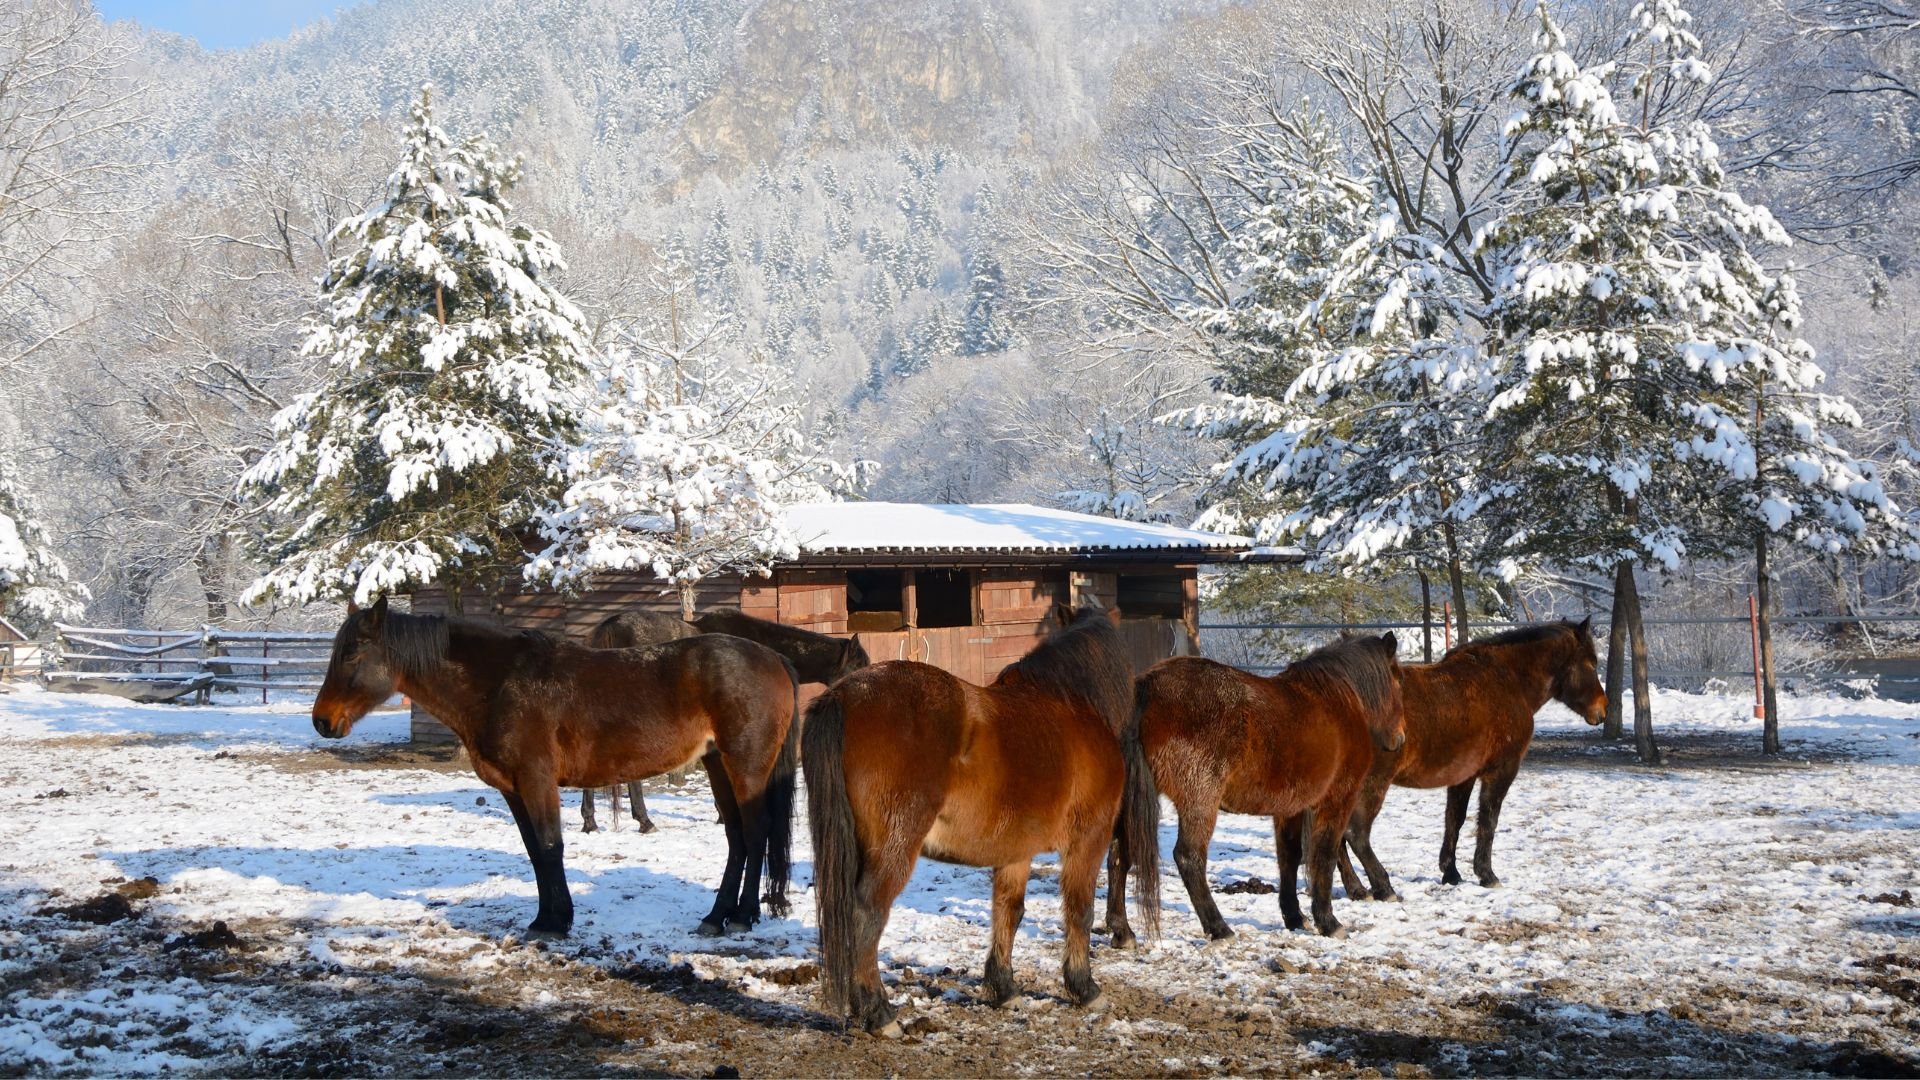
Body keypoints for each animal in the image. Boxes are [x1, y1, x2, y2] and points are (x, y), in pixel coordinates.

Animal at [312, 597, 800, 938]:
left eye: (352, 655)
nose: (322, 721)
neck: (498, 684)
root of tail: (773, 658)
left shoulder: (537, 780)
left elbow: (550, 847)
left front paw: (558, 922)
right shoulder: (512, 788)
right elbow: (533, 852)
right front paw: (543, 918)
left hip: (745, 765)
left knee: (755, 831)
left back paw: (742, 916)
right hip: (718, 764)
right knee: (736, 837)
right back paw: (717, 916)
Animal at [804, 606, 1161, 1036]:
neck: (1074, 705)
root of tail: (843, 695)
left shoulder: (1016, 851)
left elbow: (1009, 911)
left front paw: (1003, 989)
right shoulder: (1087, 840)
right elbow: (1079, 910)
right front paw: (1084, 987)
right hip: (893, 850)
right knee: (866, 915)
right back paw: (879, 1013)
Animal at [1107, 634, 1403, 942]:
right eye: (1398, 680)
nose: (1399, 739)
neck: (1337, 700)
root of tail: (1146, 687)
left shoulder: (1290, 809)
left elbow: (1290, 858)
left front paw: (1294, 917)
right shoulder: (1336, 802)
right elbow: (1325, 856)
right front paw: (1328, 922)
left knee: (1118, 857)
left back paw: (1122, 930)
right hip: (1199, 802)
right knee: (1188, 857)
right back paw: (1219, 927)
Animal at [1336, 618, 1607, 902]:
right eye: (1591, 663)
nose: (1603, 709)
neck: (1508, 680)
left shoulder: (1462, 776)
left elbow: (1455, 819)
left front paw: (1451, 872)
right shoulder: (1501, 771)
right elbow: (1488, 820)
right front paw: (1486, 874)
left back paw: (1356, 889)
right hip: (1372, 784)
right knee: (1356, 834)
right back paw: (1383, 888)